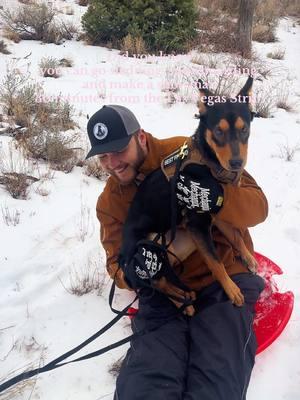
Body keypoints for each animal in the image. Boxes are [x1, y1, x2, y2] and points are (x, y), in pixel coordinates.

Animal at [120, 76, 258, 310]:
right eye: (218, 131)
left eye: (244, 129)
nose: (237, 163)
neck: (209, 163)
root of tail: (125, 263)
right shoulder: (197, 225)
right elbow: (216, 262)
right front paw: (232, 290)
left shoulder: (219, 212)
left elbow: (237, 237)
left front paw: (248, 258)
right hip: (148, 248)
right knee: (153, 284)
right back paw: (183, 303)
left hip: (178, 247)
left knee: (163, 280)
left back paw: (185, 296)